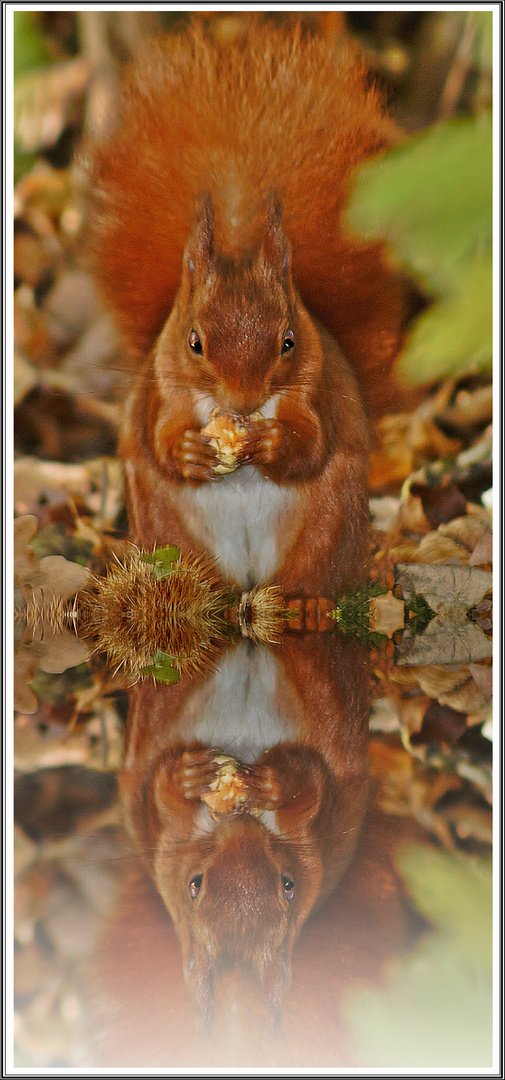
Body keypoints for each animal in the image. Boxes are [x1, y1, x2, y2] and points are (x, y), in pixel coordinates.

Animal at [84, 19, 416, 591]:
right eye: (194, 342)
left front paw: (275, 444)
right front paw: (188, 451)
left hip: (329, 521)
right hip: (166, 525)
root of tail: (249, 578)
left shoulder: (315, 390)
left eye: (288, 341)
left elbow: (314, 444)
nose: (242, 402)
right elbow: (158, 436)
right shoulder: (164, 390)